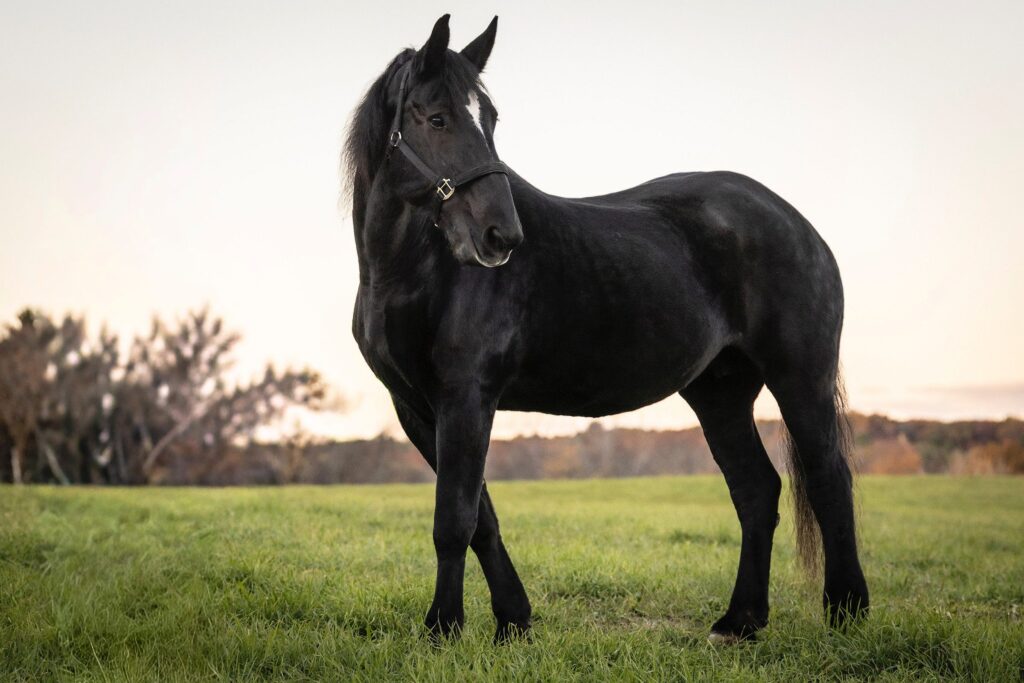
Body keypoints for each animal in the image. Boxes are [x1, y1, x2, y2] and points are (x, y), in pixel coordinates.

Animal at [343, 14, 869, 643]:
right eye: (437, 118)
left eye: (489, 119)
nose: (501, 236)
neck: (413, 274)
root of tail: (797, 222)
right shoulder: (418, 408)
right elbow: (480, 518)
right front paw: (512, 620)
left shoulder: (466, 397)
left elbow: (454, 519)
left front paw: (444, 628)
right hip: (719, 392)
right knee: (756, 491)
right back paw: (739, 621)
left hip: (800, 378)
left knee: (829, 480)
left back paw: (846, 610)